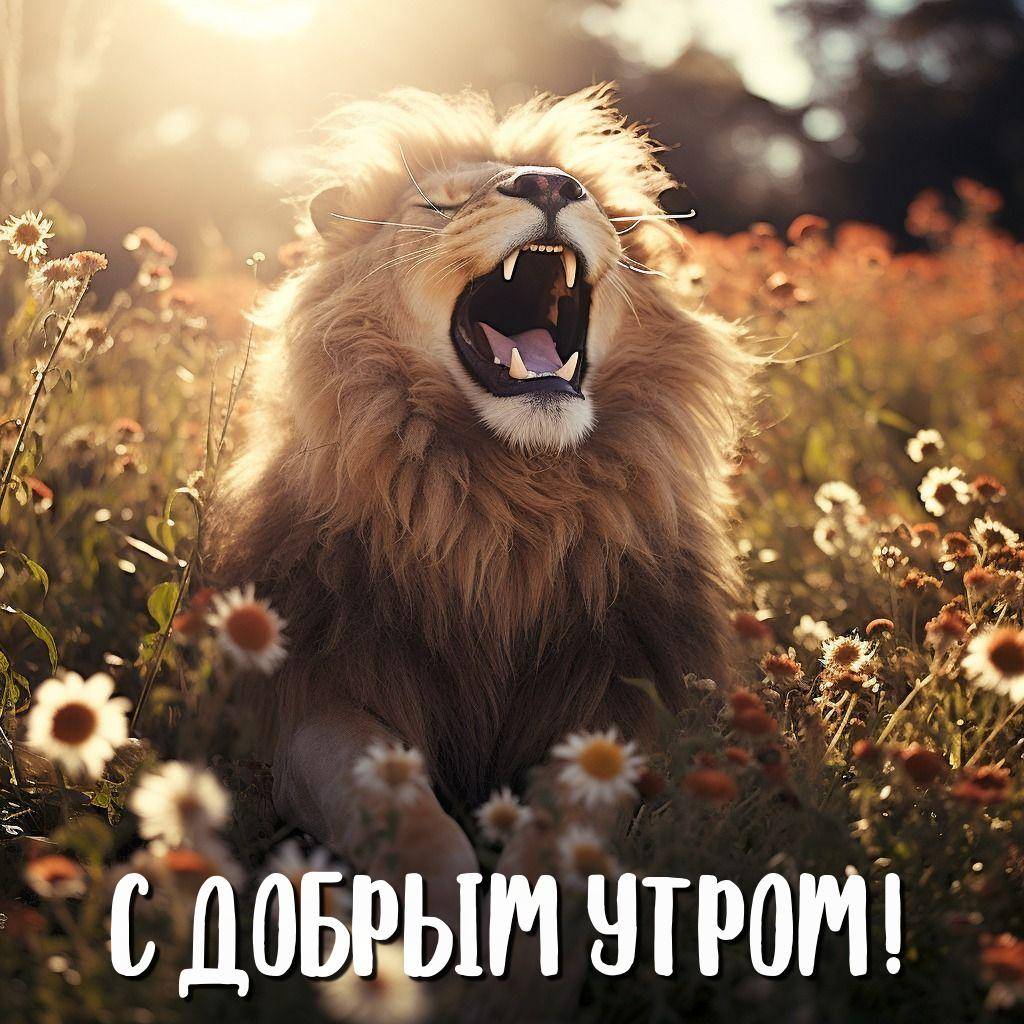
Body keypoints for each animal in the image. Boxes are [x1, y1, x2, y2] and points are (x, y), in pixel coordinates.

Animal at [207, 85, 752, 910]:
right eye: (438, 205)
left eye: (591, 198)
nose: (552, 186)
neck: (507, 505)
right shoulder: (312, 695)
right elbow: (392, 801)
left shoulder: (624, 696)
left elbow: (572, 814)